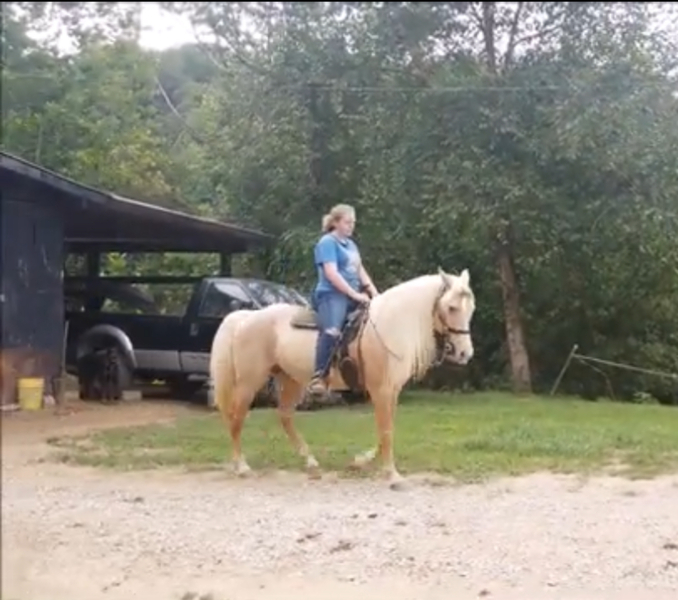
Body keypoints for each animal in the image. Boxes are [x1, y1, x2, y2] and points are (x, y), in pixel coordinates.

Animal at [209, 267, 476, 490]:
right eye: (452, 307)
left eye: (470, 309)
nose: (465, 353)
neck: (389, 326)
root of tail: (245, 318)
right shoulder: (381, 390)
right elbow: (386, 430)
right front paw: (392, 475)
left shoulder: (392, 391)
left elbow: (387, 430)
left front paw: (361, 461)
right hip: (249, 381)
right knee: (236, 418)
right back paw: (242, 467)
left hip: (291, 380)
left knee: (284, 416)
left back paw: (310, 462)